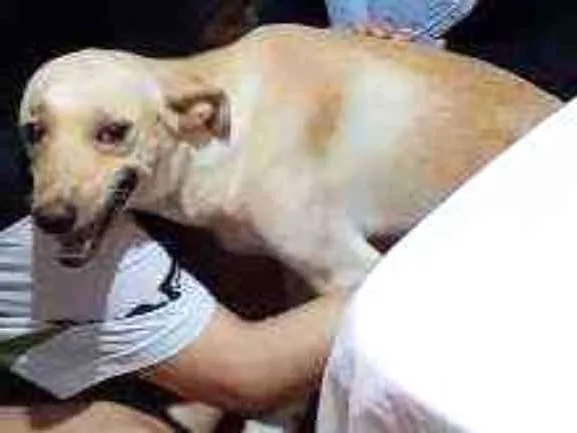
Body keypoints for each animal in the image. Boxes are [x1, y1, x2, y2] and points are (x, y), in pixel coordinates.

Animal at [20, 24, 561, 431]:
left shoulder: (349, 272)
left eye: (114, 132)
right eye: (33, 131)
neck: (227, 137)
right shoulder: (298, 279)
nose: (50, 219)